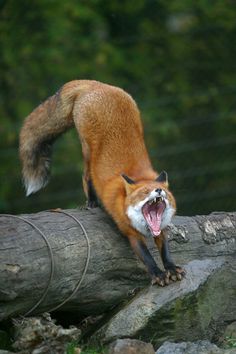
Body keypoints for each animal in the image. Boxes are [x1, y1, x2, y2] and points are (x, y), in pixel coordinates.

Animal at [19, 80, 184, 284]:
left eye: (164, 191)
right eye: (144, 193)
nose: (158, 192)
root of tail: (95, 84)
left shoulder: (161, 229)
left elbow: (165, 250)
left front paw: (171, 268)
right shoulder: (129, 232)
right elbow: (146, 257)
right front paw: (157, 273)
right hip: (87, 153)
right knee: (86, 176)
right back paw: (91, 202)